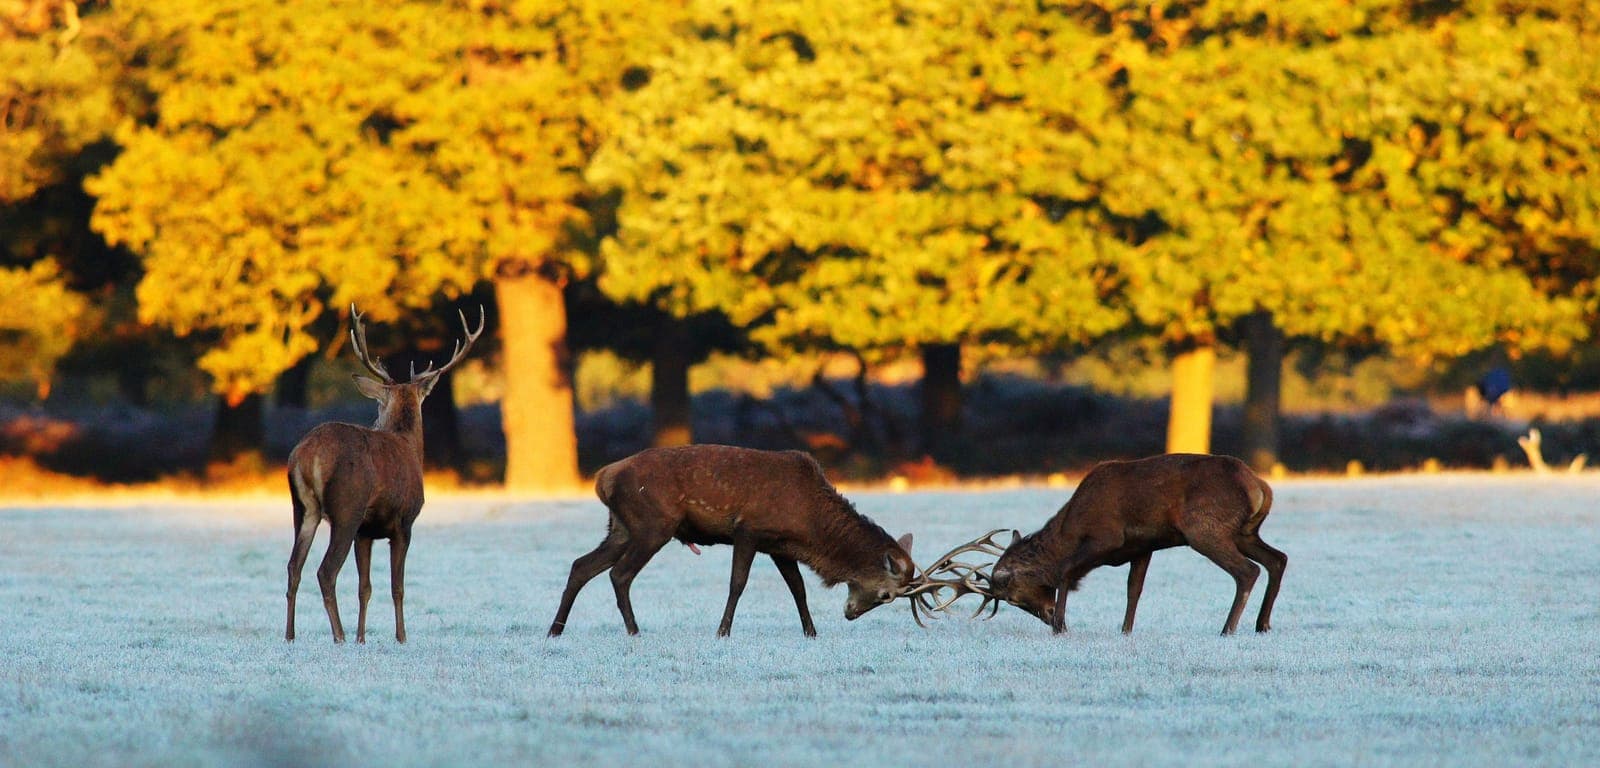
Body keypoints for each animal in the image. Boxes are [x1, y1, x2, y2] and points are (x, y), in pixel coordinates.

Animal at [284, 304, 483, 644]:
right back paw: (339, 636)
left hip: (303, 508)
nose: (375, 420)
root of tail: (307, 454)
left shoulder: (365, 533)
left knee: (293, 566)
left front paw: (363, 638)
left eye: (378, 405)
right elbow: (397, 587)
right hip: (347, 508)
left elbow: (365, 588)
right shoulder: (404, 523)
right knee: (326, 571)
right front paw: (401, 637)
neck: (409, 446)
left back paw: (290, 635)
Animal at [548, 444, 925, 637]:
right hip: (652, 524)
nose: (850, 614)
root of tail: (604, 478)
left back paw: (556, 630)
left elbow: (798, 588)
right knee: (619, 574)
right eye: (886, 595)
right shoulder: (749, 530)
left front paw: (811, 632)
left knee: (581, 566)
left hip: (621, 528)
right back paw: (634, 630)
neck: (808, 528)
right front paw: (723, 631)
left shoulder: (779, 546)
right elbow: (738, 583)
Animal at [925, 453, 1286, 636]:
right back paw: (1262, 625)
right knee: (1277, 559)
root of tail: (1259, 485)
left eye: (1011, 598)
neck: (1072, 527)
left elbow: (1066, 571)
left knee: (1247, 571)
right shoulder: (1143, 547)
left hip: (1205, 529)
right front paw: (1125, 631)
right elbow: (1133, 589)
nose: (1046, 616)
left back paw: (1228, 629)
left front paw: (1062, 626)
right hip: (1244, 533)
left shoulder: (1107, 536)